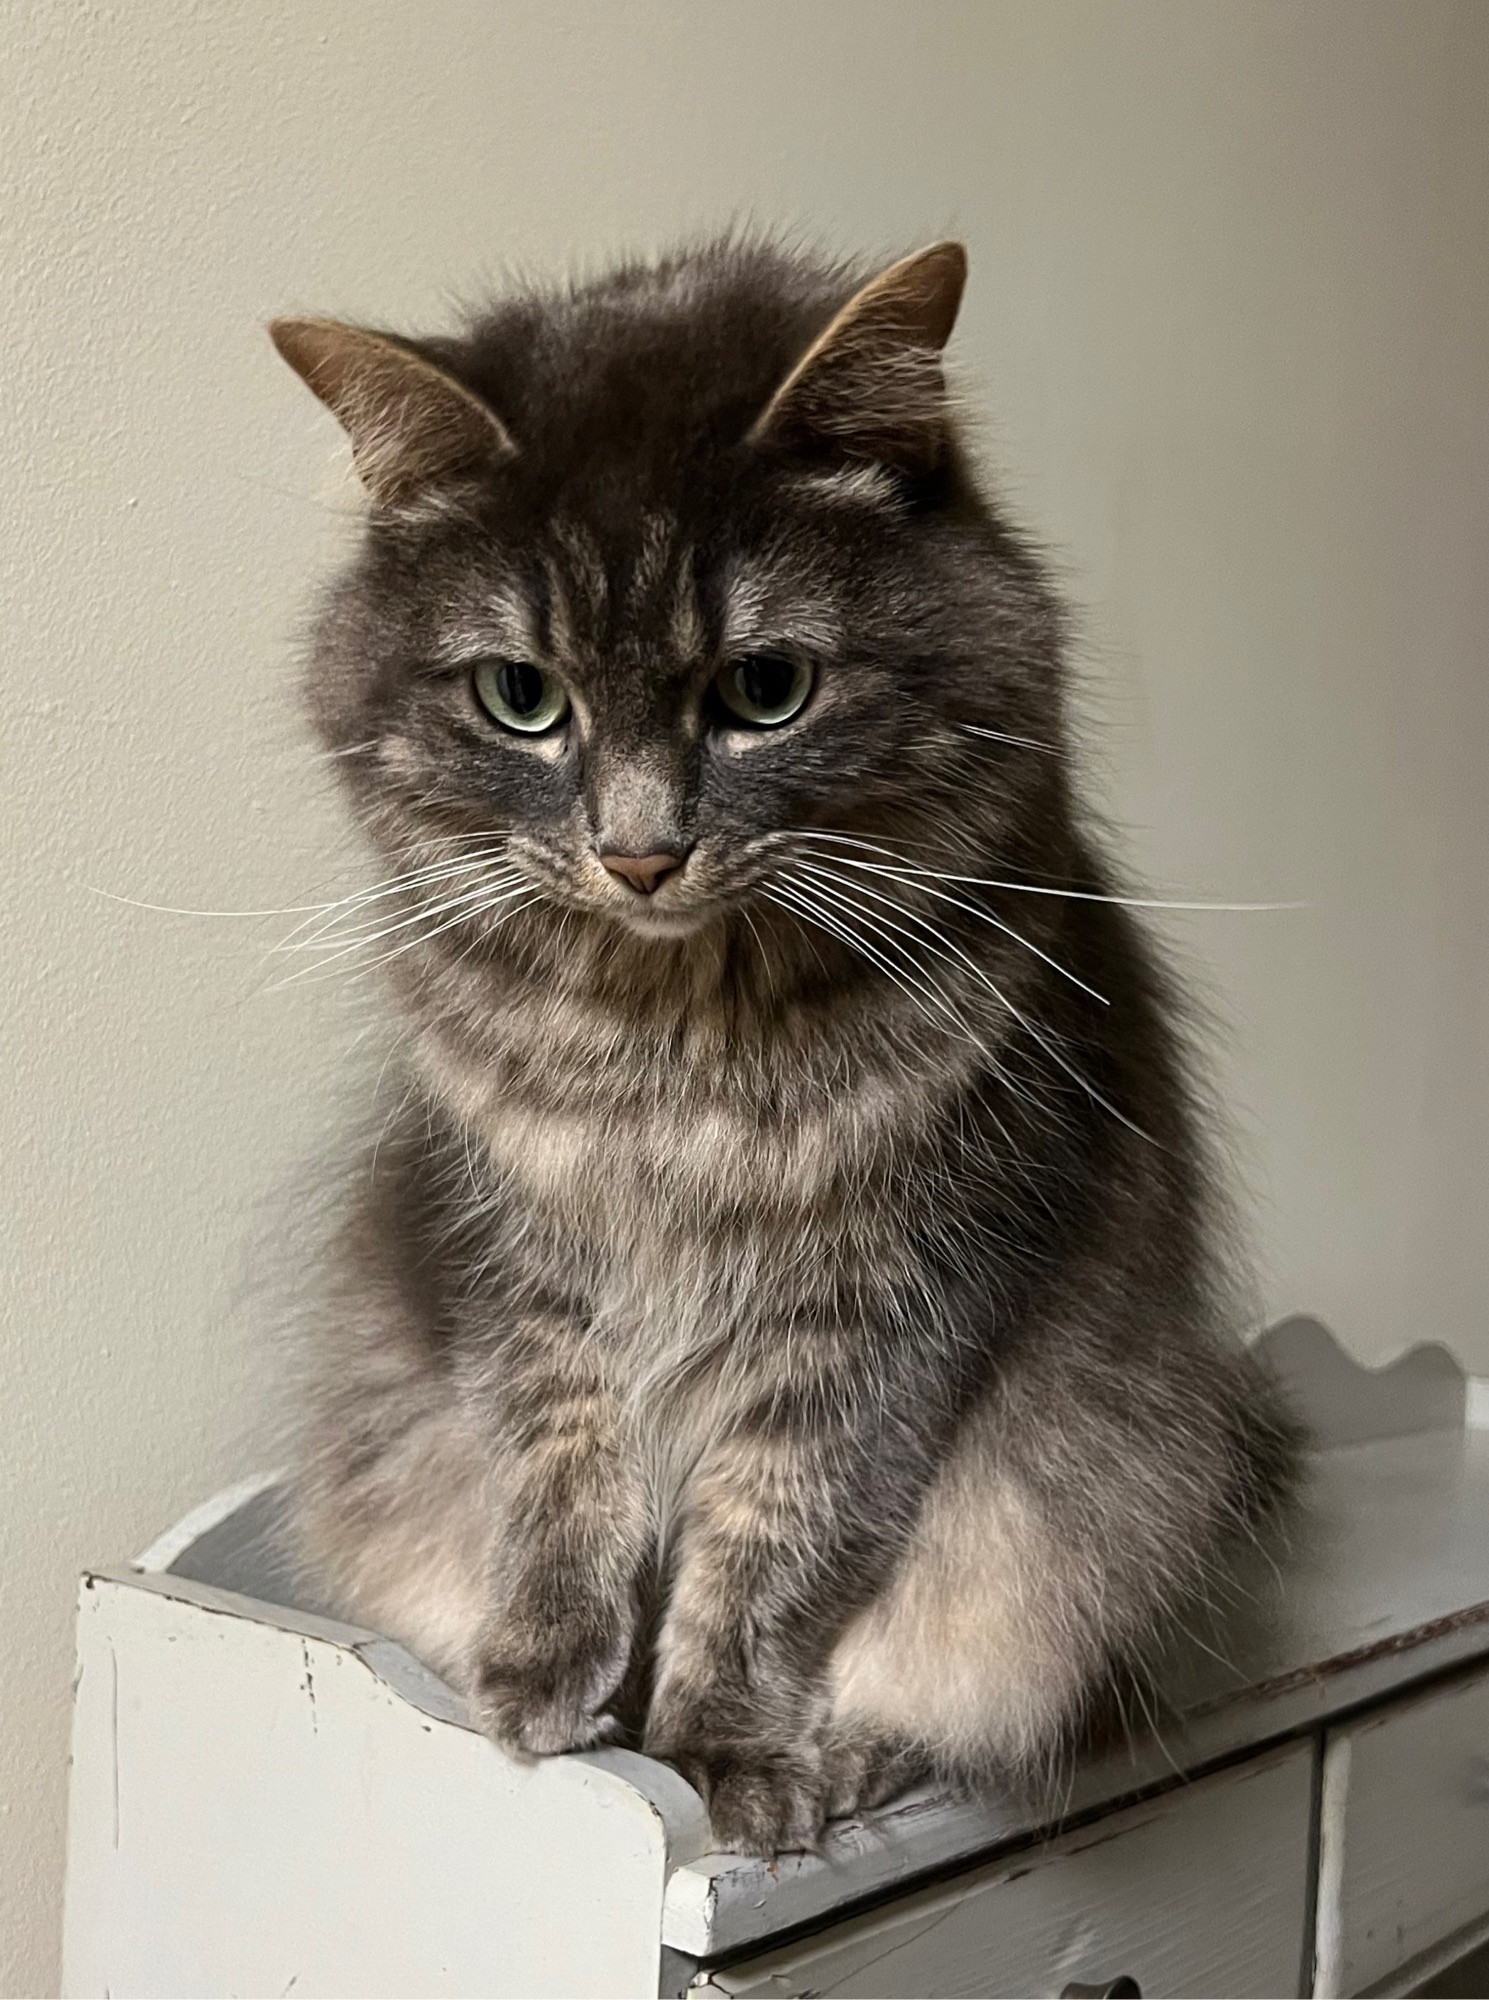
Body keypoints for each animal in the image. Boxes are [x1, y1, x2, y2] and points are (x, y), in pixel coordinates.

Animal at [270, 238, 1304, 1856]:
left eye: (764, 691)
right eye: (521, 697)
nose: (638, 854)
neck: (675, 1047)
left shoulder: (888, 1298)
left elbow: (774, 1536)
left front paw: (716, 1758)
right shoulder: (526, 1264)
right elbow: (558, 1473)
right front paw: (545, 1686)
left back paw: (856, 1760)